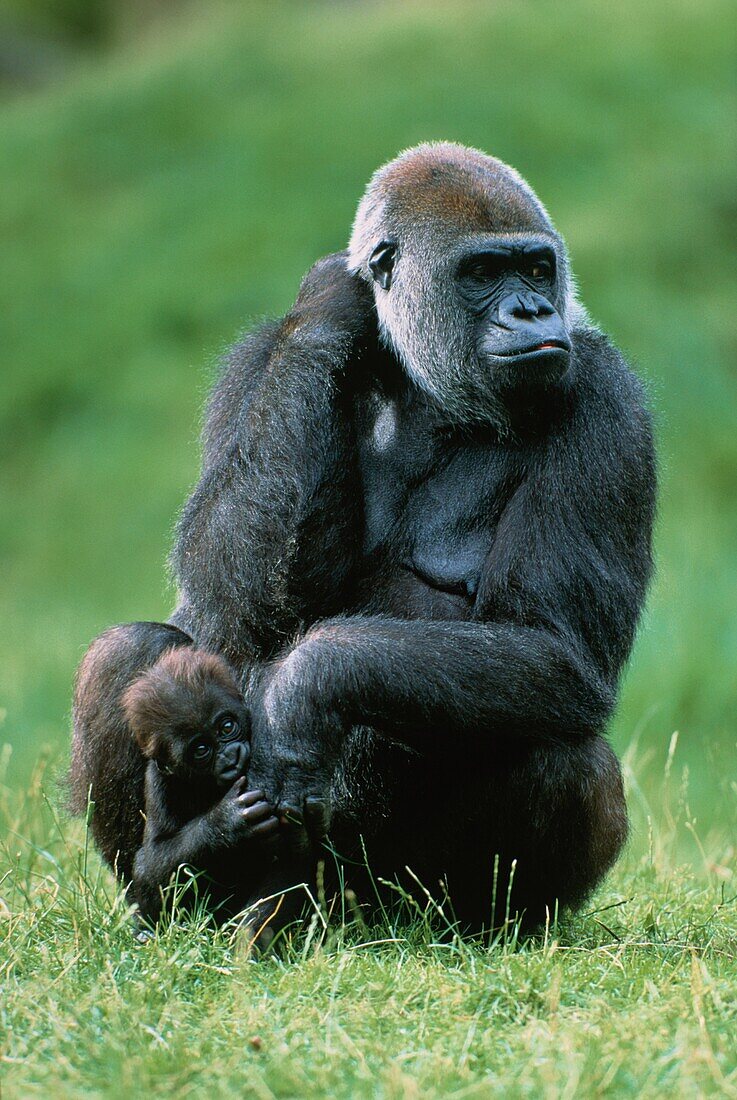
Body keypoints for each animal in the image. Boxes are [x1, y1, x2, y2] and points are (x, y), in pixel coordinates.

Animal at [122, 642, 278, 928]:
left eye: (227, 727)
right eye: (201, 750)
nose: (230, 757)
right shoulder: (159, 781)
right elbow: (148, 868)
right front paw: (226, 822)